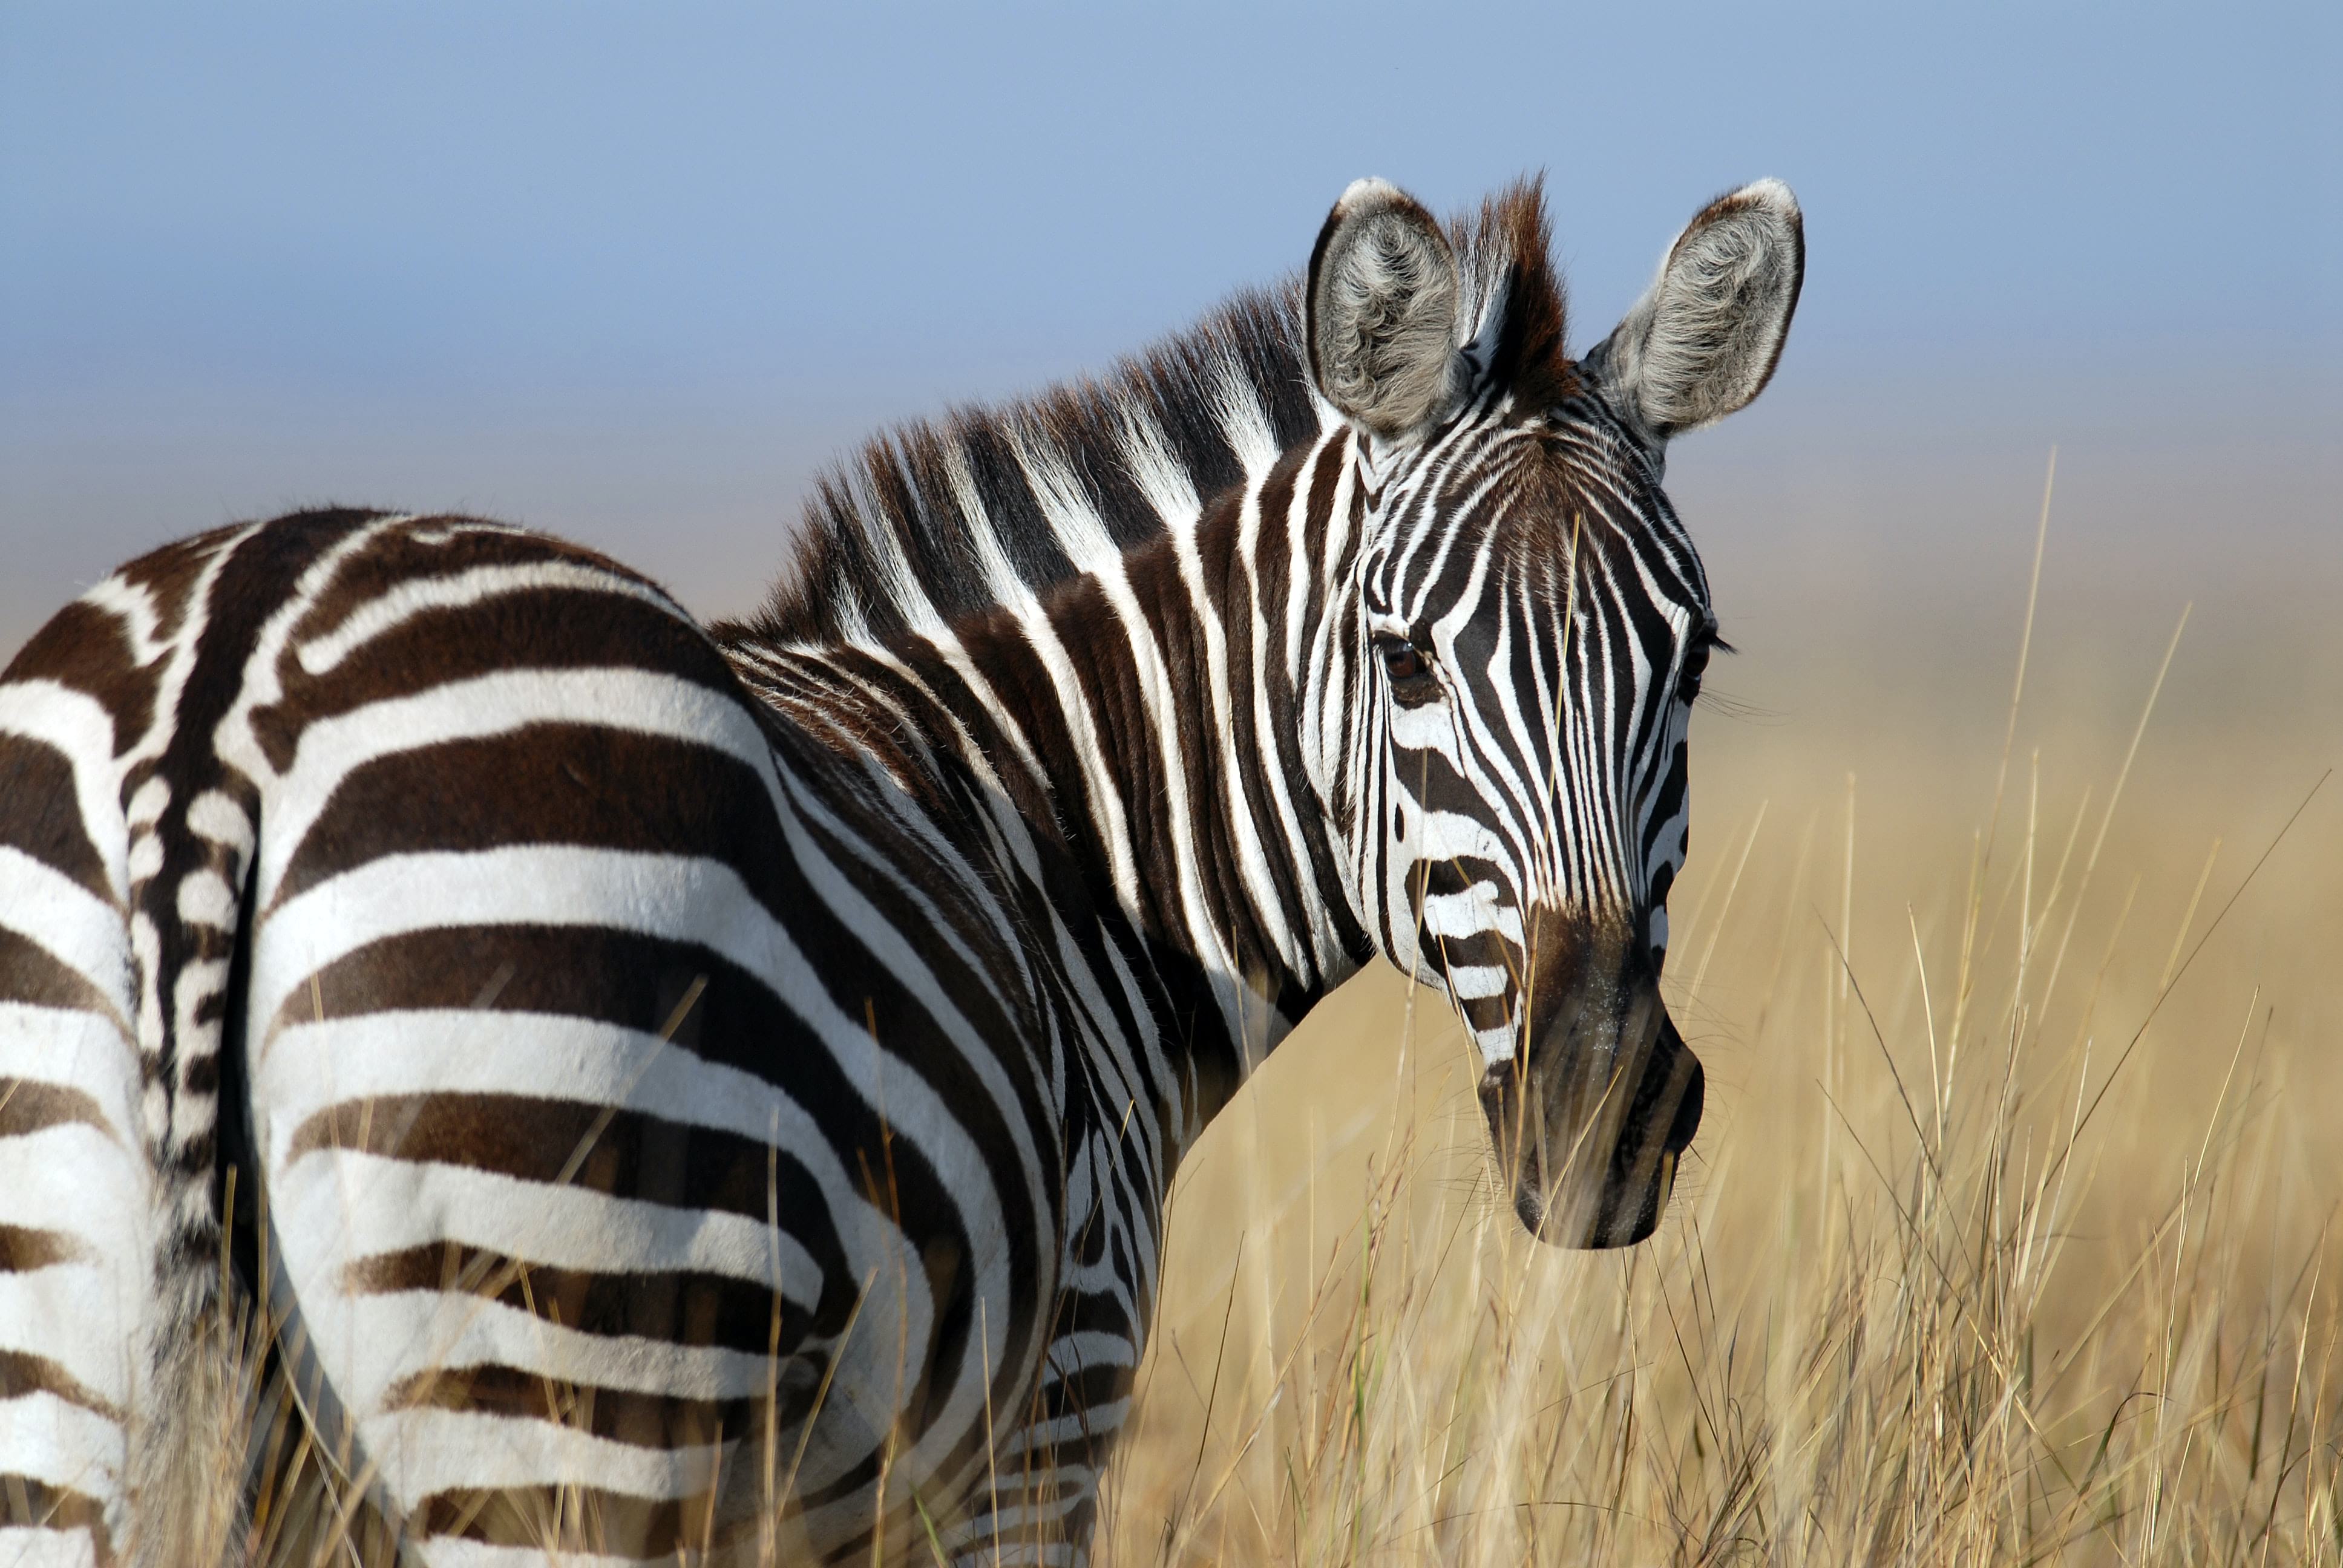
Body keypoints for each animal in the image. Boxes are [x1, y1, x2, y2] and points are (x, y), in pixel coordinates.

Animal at [0, 177, 1799, 1556]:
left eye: (1693, 660)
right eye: (1406, 660)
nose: (1606, 1114)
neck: (1070, 845)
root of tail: (224, 688)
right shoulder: (1040, 1423)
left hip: (79, 1390)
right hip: (556, 1388)